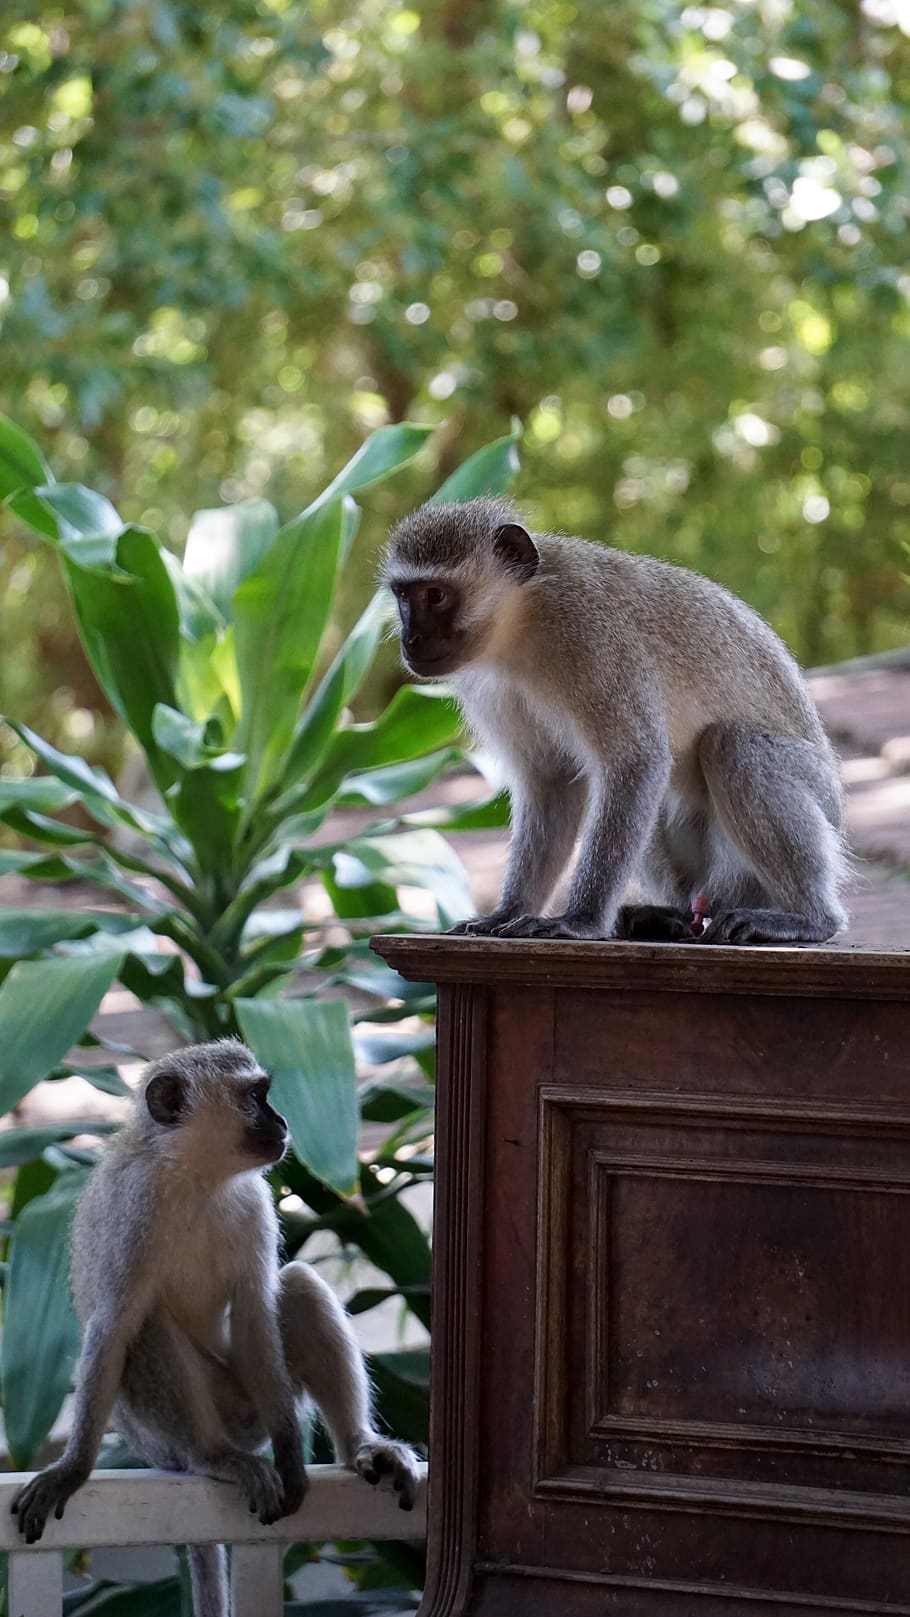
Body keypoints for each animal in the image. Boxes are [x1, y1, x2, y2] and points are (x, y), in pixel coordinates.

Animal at [13, 1039, 420, 1617]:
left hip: (248, 1405)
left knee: (296, 1285)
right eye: (255, 1098)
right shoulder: (134, 1211)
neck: (194, 1178)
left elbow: (253, 1311)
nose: (284, 1121)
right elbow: (113, 1326)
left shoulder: (256, 1205)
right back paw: (213, 1458)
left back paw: (361, 1446)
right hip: (166, 1434)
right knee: (149, 1327)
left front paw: (292, 1457)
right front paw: (73, 1468)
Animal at [380, 497, 847, 947]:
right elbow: (550, 780)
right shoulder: (490, 686)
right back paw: (673, 917)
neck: (521, 621)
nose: (410, 639)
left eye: (435, 596)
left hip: (817, 804)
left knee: (733, 745)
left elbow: (636, 760)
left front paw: (579, 921)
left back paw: (811, 919)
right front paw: (507, 912)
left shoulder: (592, 638)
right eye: (403, 597)